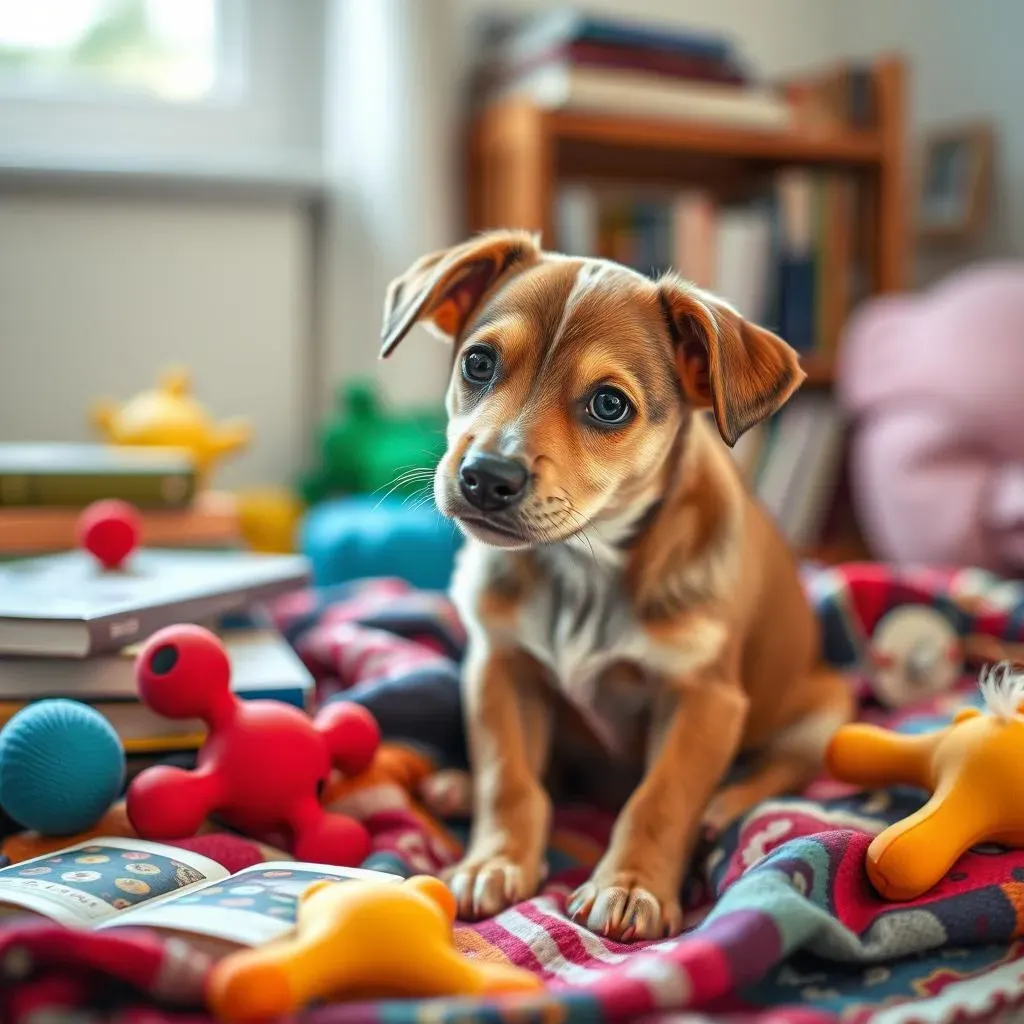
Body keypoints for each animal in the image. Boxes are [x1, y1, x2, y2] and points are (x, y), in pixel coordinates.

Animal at [380, 230, 851, 942]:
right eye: (479, 363)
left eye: (609, 404)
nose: (485, 477)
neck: (586, 566)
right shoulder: (500, 666)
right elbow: (509, 778)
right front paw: (495, 860)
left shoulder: (705, 699)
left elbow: (660, 797)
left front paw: (629, 886)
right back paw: (458, 783)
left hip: (826, 709)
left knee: (780, 771)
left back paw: (724, 808)